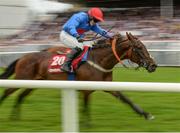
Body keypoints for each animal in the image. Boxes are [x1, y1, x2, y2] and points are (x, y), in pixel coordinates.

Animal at [0, 32, 157, 120]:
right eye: (139, 47)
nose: (153, 65)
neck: (99, 60)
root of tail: (22, 57)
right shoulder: (86, 89)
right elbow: (86, 107)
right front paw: (87, 124)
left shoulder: (108, 86)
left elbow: (126, 99)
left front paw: (146, 114)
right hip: (22, 78)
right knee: (7, 92)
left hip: (34, 83)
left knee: (21, 96)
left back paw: (15, 117)